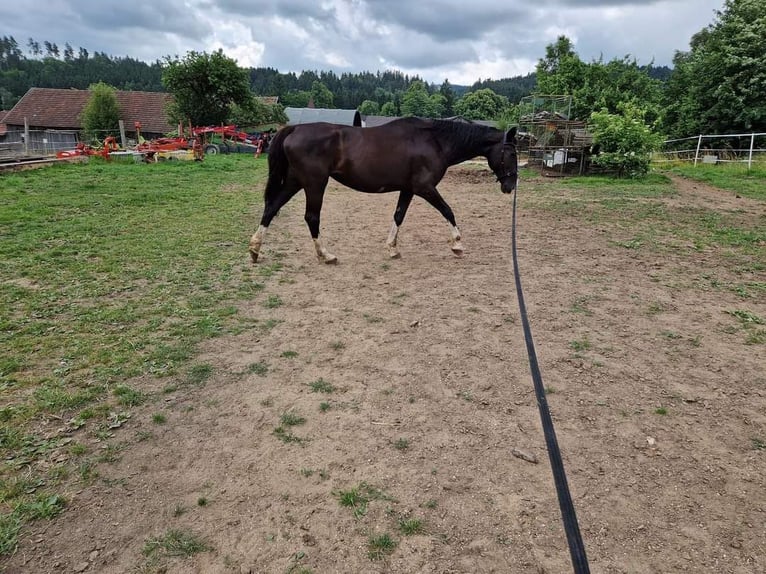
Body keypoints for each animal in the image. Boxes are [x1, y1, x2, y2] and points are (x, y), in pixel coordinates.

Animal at [249, 117, 520, 266]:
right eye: (512, 153)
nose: (510, 186)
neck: (435, 141)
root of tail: (295, 129)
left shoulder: (409, 189)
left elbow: (399, 216)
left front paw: (392, 248)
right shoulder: (425, 188)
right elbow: (448, 211)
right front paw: (457, 245)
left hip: (296, 181)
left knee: (271, 207)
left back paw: (254, 250)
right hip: (315, 183)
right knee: (311, 217)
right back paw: (326, 255)